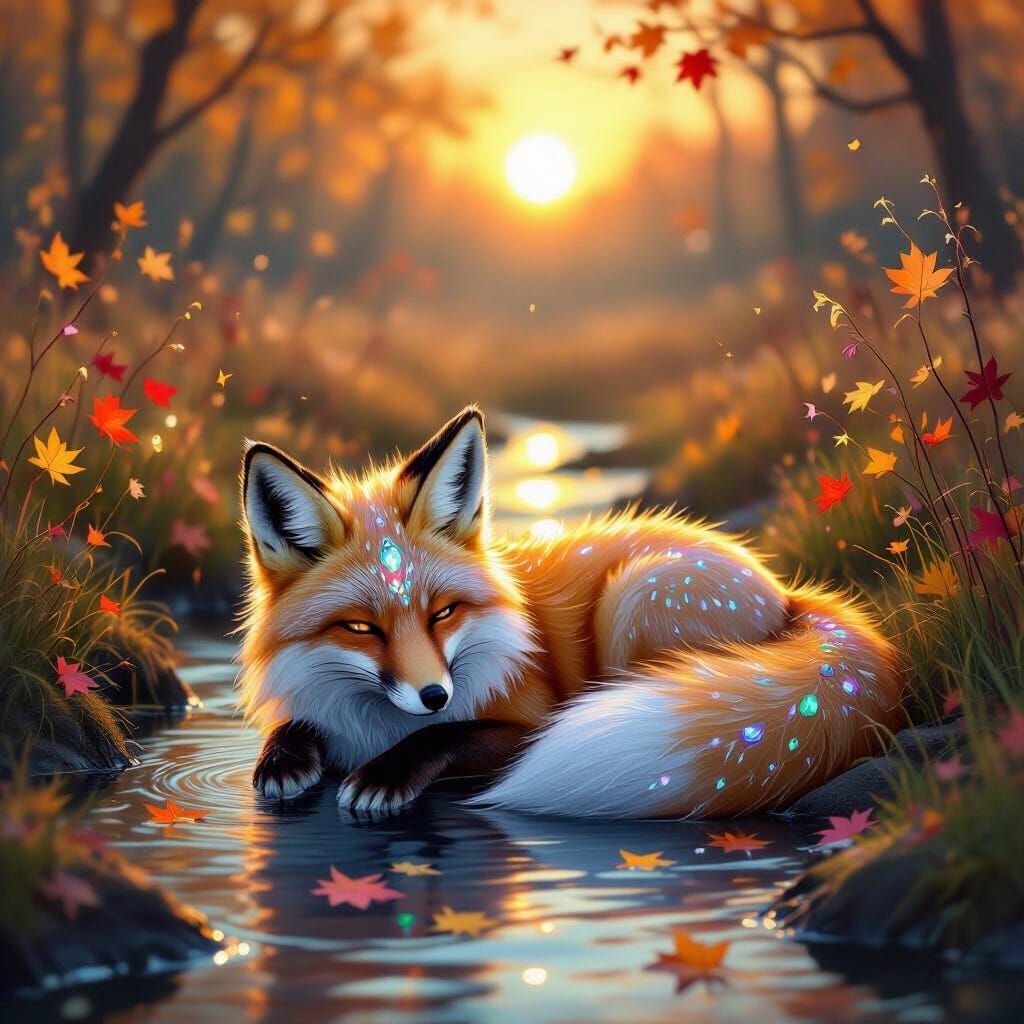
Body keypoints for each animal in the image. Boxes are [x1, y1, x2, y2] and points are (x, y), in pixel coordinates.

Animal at [237, 406, 904, 819]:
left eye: (443, 612)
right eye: (360, 627)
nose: (434, 695)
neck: (378, 728)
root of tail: (788, 589)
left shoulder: (529, 722)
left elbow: (452, 734)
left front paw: (385, 775)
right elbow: (294, 725)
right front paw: (285, 758)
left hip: (634, 601)